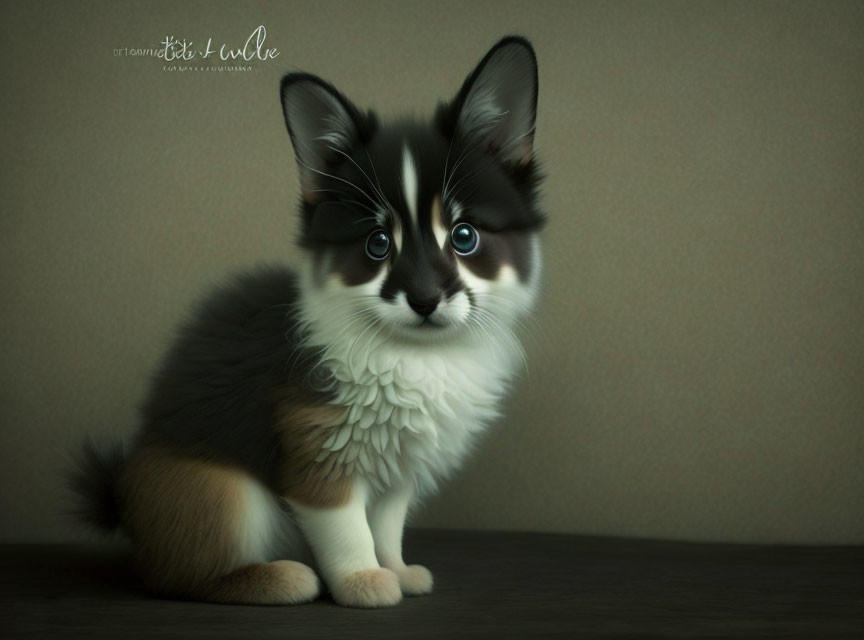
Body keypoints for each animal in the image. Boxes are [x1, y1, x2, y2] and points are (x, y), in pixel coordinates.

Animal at [72, 36, 548, 608]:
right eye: (377, 244)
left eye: (464, 236)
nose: (424, 298)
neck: (415, 355)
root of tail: (126, 501)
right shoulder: (318, 449)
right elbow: (346, 526)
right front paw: (363, 581)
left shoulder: (399, 468)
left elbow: (386, 523)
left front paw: (396, 568)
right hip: (215, 490)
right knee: (179, 576)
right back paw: (277, 579)